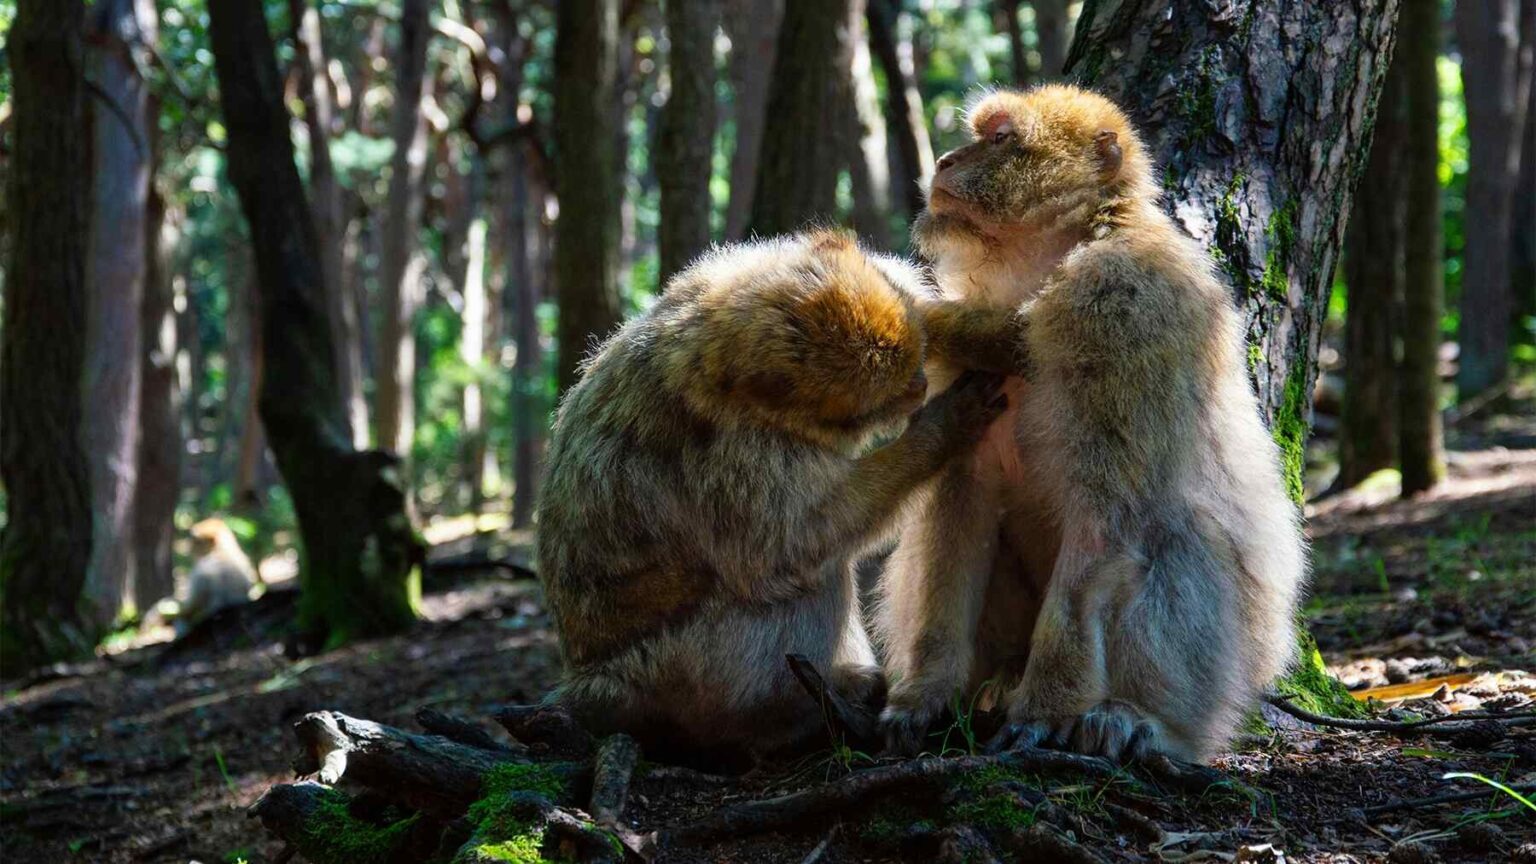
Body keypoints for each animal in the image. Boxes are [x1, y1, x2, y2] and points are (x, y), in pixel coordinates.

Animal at [534, 229, 1011, 763]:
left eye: (916, 357)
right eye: (875, 403)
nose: (920, 385)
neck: (707, 343)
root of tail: (591, 682)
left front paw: (1000, 336)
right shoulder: (740, 453)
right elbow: (790, 543)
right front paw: (941, 430)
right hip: (683, 671)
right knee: (807, 575)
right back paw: (789, 720)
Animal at [876, 85, 1307, 764]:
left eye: (1000, 139)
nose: (945, 160)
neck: (1045, 266)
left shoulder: (1119, 305)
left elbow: (1105, 527)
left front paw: (1045, 708)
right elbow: (958, 506)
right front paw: (924, 691)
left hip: (1232, 664)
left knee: (1178, 536)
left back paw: (1139, 719)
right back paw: (991, 685)